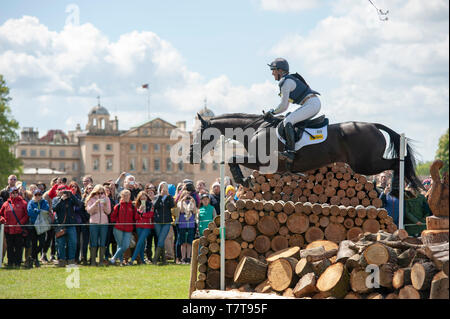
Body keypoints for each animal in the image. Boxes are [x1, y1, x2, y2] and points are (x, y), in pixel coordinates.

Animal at [188, 113, 424, 195]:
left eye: (200, 133)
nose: (190, 156)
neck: (255, 129)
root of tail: (373, 125)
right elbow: (232, 159)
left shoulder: (262, 161)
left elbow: (232, 159)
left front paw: (243, 181)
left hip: (366, 163)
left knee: (397, 162)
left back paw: (396, 189)